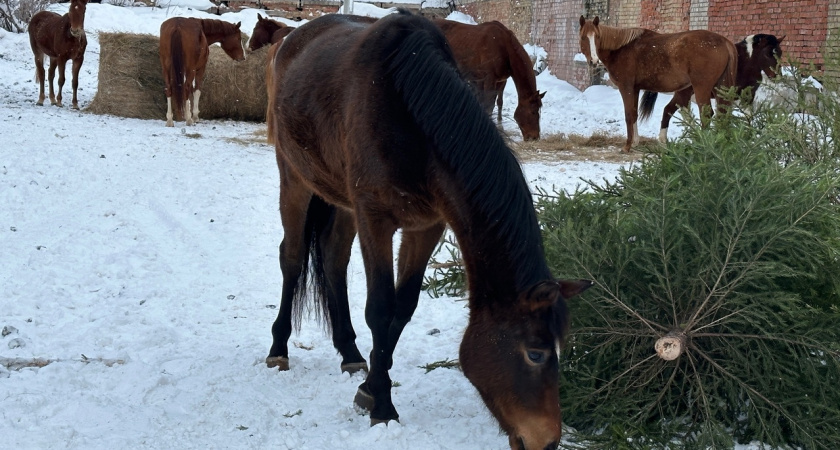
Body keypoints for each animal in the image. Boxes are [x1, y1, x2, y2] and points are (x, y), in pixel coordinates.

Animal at [266, 10, 592, 450]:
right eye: (535, 353)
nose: (548, 441)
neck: (411, 117)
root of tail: (291, 39)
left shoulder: (427, 227)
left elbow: (402, 310)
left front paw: (370, 389)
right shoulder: (376, 219)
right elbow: (380, 308)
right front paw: (383, 408)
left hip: (343, 200)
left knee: (333, 258)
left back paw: (350, 353)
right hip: (295, 178)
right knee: (293, 257)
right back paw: (279, 347)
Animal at [576, 16, 736, 153]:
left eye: (597, 37)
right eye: (584, 37)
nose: (594, 61)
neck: (621, 48)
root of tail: (724, 41)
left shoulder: (626, 88)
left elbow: (628, 115)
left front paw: (627, 146)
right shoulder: (635, 89)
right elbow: (634, 114)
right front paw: (635, 142)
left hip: (701, 88)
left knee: (707, 115)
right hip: (718, 89)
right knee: (722, 114)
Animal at [640, 33, 784, 142]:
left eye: (780, 53)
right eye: (767, 54)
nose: (777, 77)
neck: (744, 63)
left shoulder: (747, 97)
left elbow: (746, 117)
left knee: (676, 110)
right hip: (684, 93)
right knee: (674, 110)